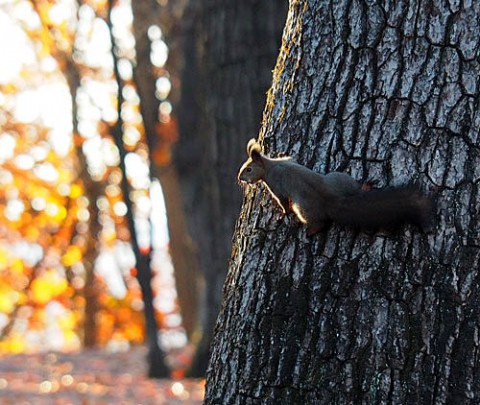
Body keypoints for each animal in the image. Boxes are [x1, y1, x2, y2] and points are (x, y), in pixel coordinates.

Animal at [238, 138, 434, 235]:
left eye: (248, 169)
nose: (240, 179)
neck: (269, 165)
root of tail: (333, 200)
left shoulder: (276, 185)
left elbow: (284, 203)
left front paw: (283, 214)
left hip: (305, 210)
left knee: (319, 223)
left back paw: (311, 231)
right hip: (339, 178)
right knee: (355, 189)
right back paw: (365, 187)